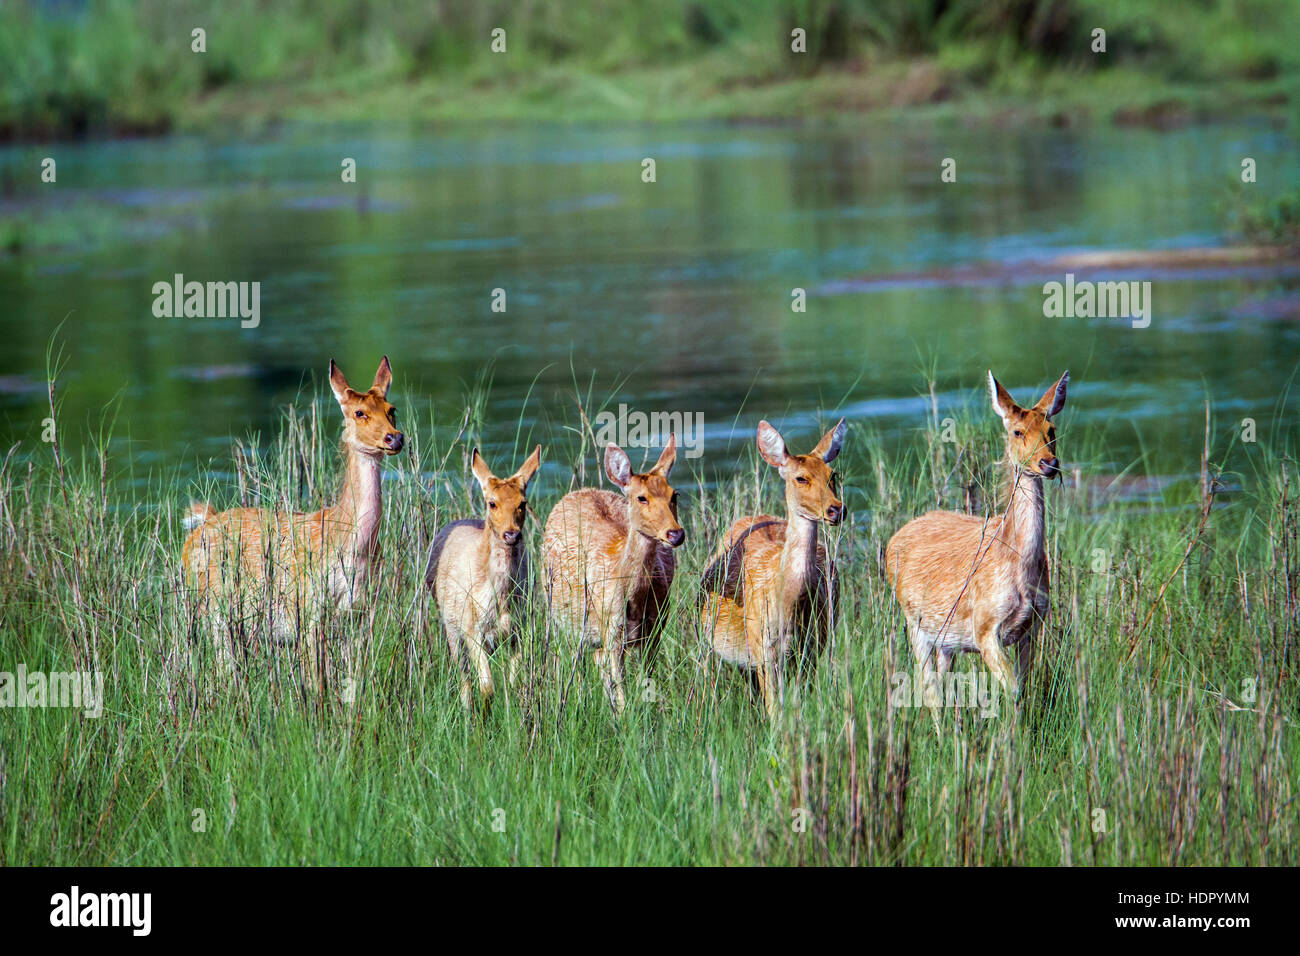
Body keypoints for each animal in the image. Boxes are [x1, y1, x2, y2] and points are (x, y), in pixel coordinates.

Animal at [178, 356, 400, 691]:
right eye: (359, 412)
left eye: (391, 409)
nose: (395, 437)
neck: (350, 545)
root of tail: (199, 527)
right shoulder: (306, 606)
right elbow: (316, 679)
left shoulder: (362, 610)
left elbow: (353, 678)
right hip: (212, 605)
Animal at [426, 444, 543, 707]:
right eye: (492, 503)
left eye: (523, 503)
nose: (511, 534)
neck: (501, 598)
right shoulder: (472, 628)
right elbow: (487, 686)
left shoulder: (518, 629)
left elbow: (515, 683)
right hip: (450, 623)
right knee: (463, 676)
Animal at [540, 437, 686, 712]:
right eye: (641, 498)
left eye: (675, 494)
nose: (675, 534)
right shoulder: (611, 626)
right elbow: (621, 686)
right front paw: (625, 716)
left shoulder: (657, 625)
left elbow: (645, 677)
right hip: (561, 613)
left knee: (598, 661)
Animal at [696, 418, 847, 717]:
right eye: (801, 478)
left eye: (832, 474)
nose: (837, 509)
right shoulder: (762, 648)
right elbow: (775, 709)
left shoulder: (813, 646)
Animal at [883, 369, 1066, 712]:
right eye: (1017, 431)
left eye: (1052, 429)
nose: (1049, 464)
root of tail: (893, 539)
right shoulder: (984, 626)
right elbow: (1012, 690)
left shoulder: (1034, 624)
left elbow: (1022, 688)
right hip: (914, 622)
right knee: (929, 690)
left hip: (946, 640)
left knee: (944, 688)